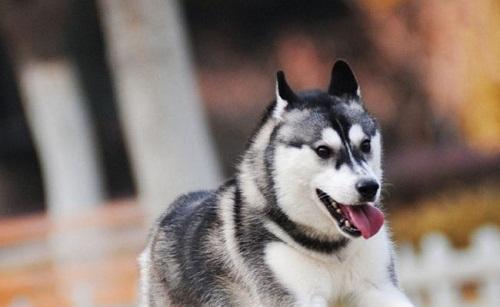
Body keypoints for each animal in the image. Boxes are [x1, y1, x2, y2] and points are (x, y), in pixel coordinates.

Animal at [139, 60, 412, 307]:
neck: (330, 250)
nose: (369, 187)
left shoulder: (379, 288)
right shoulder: (295, 298)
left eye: (365, 144)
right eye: (323, 150)